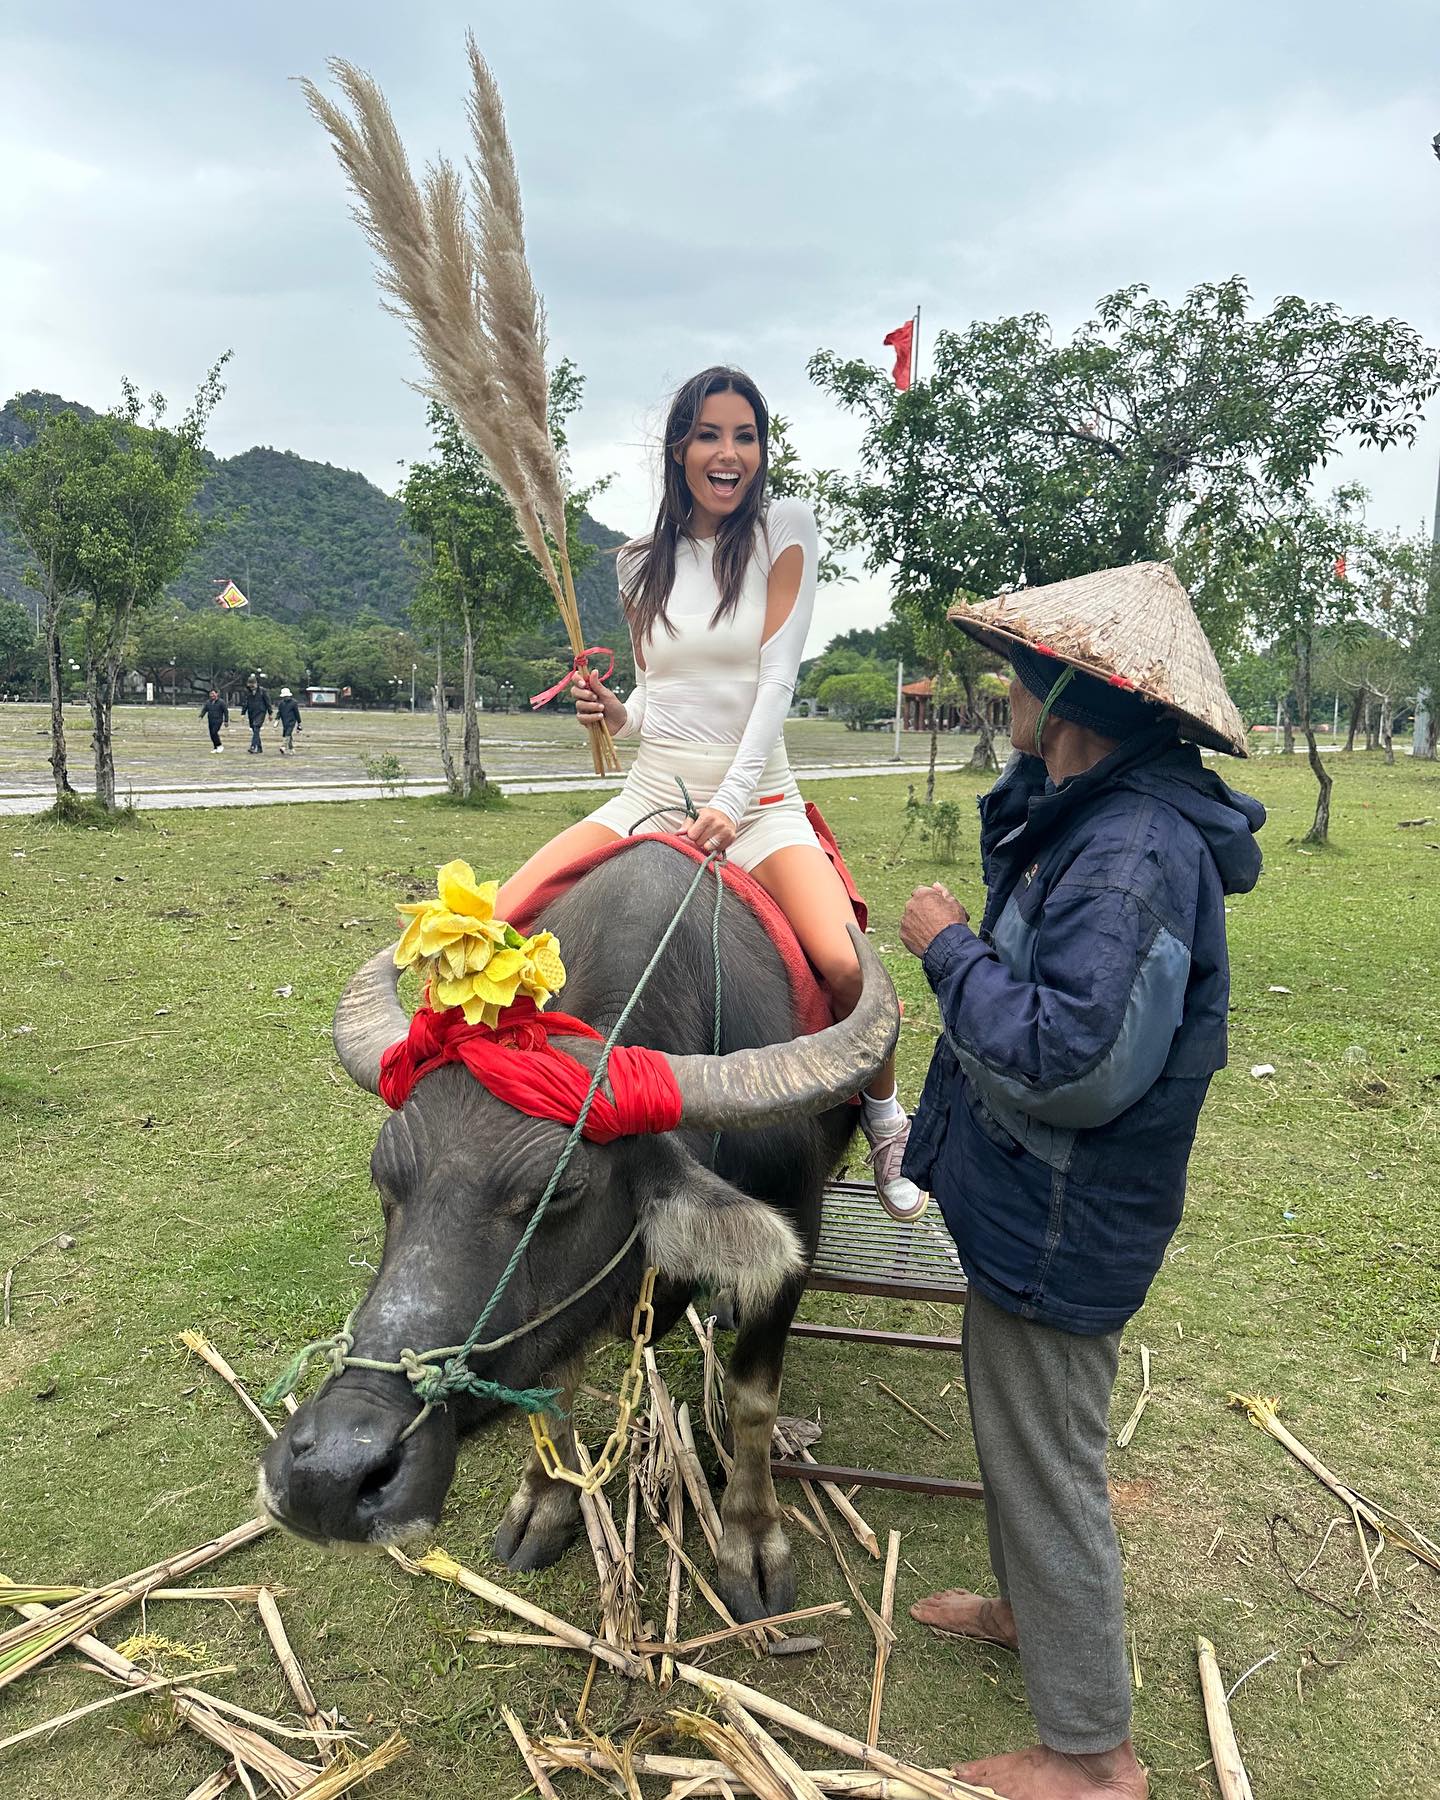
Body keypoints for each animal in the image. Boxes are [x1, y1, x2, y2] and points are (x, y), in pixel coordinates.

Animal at [253, 838, 892, 1620]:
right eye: (386, 1178)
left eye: (558, 1193)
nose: (331, 1475)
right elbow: (554, 1385)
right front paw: (547, 1501)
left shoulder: (796, 1229)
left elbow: (752, 1398)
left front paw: (751, 1540)